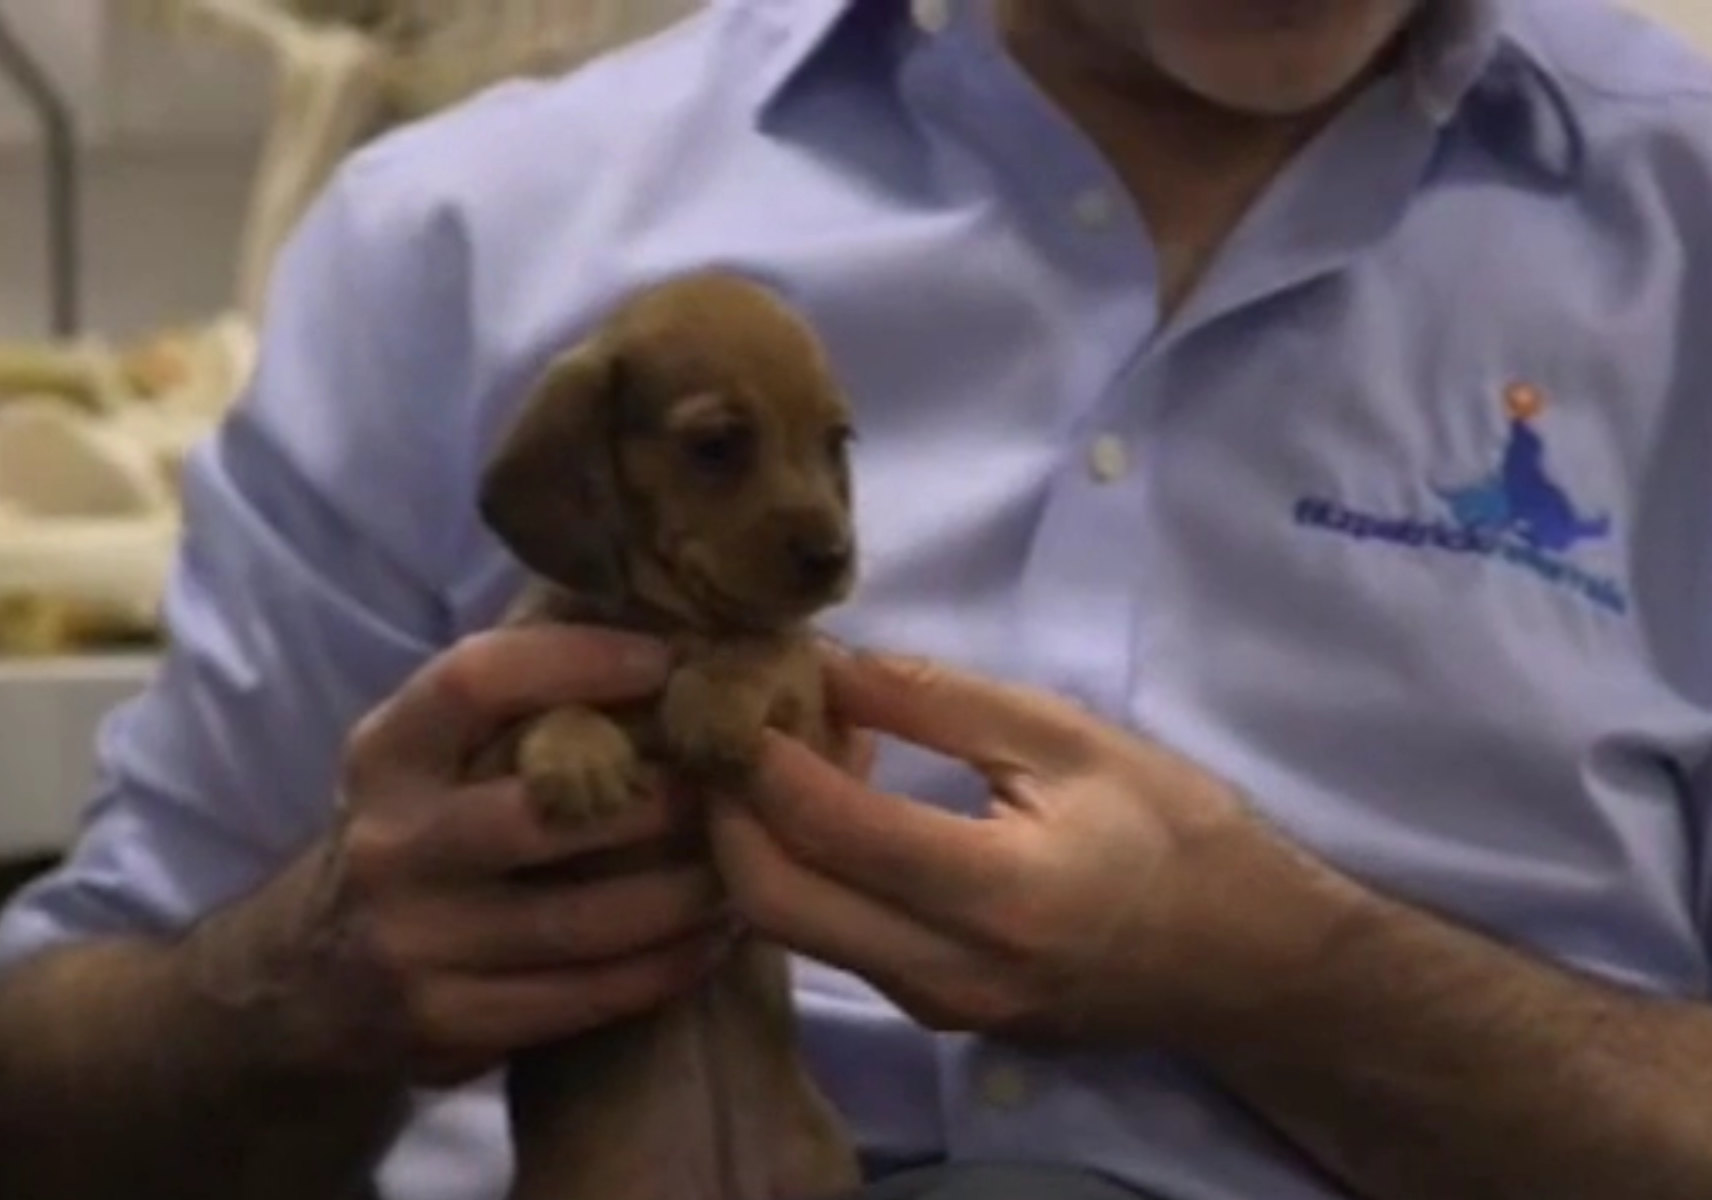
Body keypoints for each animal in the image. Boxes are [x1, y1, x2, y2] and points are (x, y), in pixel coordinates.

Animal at [475, 272, 862, 1198]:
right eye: (717, 444)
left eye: (836, 443)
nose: (835, 556)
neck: (669, 630)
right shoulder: (492, 732)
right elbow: (549, 702)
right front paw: (579, 754)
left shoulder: (816, 730)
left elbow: (768, 646)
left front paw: (713, 699)